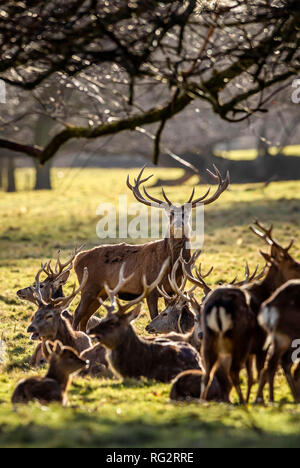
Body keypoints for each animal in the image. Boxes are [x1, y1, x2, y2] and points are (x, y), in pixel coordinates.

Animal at [72, 166, 230, 330]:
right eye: (170, 214)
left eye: (186, 214)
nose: (178, 225)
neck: (172, 267)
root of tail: (77, 258)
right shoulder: (150, 288)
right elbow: (154, 316)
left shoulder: (173, 290)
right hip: (89, 286)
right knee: (77, 314)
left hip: (100, 292)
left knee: (85, 318)